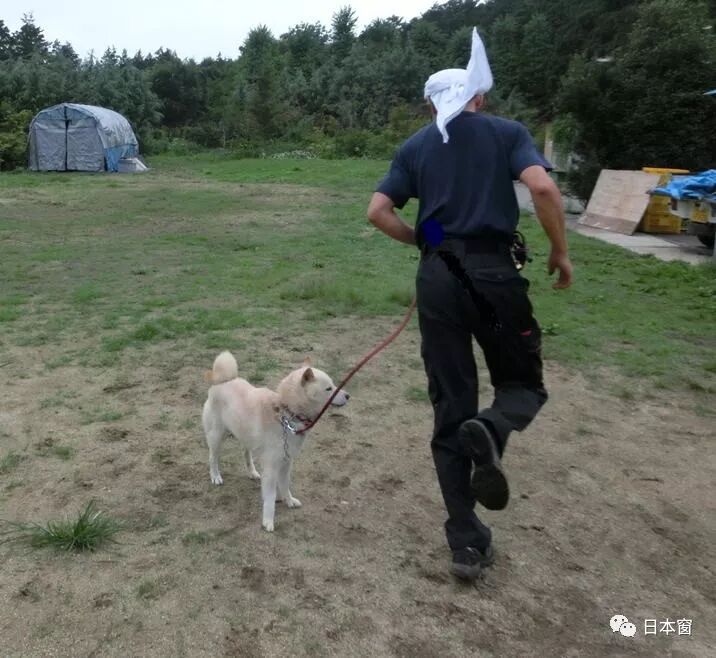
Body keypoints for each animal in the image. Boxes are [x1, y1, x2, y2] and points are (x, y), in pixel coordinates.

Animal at [201, 352, 350, 532]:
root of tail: (222, 381)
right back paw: (215, 476)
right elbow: (270, 498)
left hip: (246, 436)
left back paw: (252, 472)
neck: (287, 413)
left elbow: (285, 485)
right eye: (329, 388)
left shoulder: (286, 462)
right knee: (212, 458)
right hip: (217, 436)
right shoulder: (272, 468)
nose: (348, 395)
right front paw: (268, 521)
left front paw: (288, 500)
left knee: (245, 454)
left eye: (334, 385)